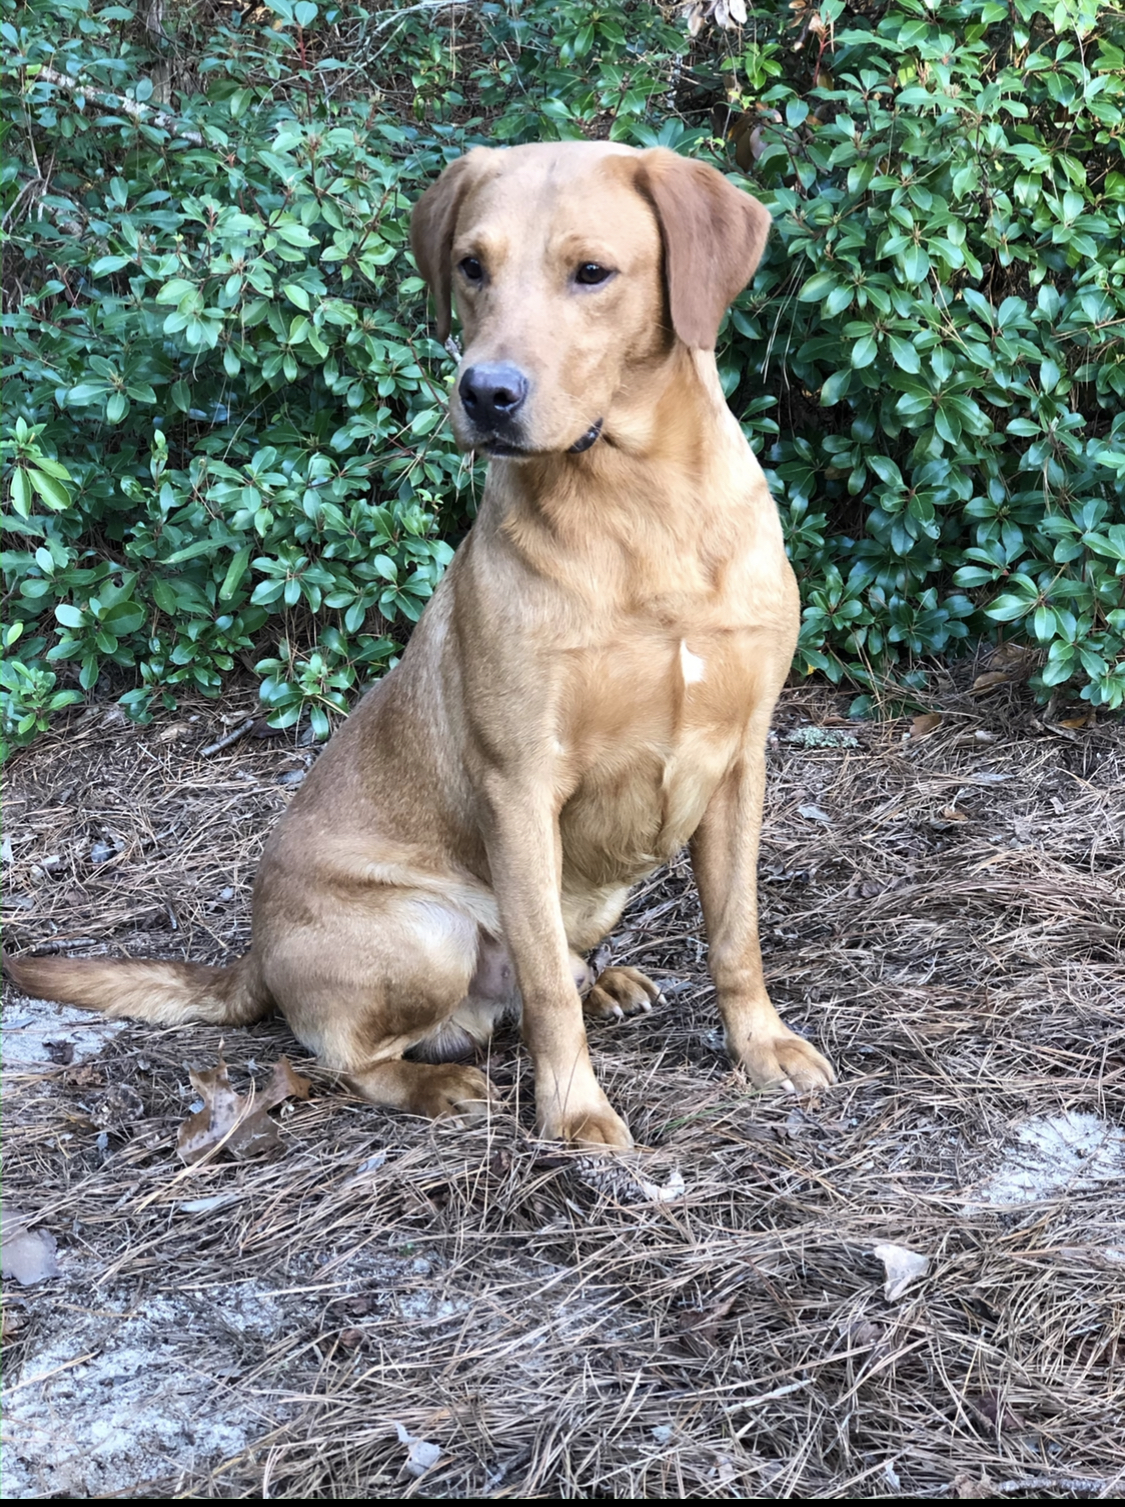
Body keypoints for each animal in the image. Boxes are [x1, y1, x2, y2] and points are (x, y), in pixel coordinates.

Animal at [6, 146, 837, 1145]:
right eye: (472, 267)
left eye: (592, 272)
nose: (484, 393)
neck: (640, 510)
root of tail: (254, 953)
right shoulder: (520, 786)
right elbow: (545, 991)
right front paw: (574, 1111)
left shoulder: (738, 760)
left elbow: (734, 935)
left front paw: (761, 1046)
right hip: (428, 931)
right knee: (362, 1050)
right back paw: (436, 1083)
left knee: (546, 974)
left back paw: (608, 983)